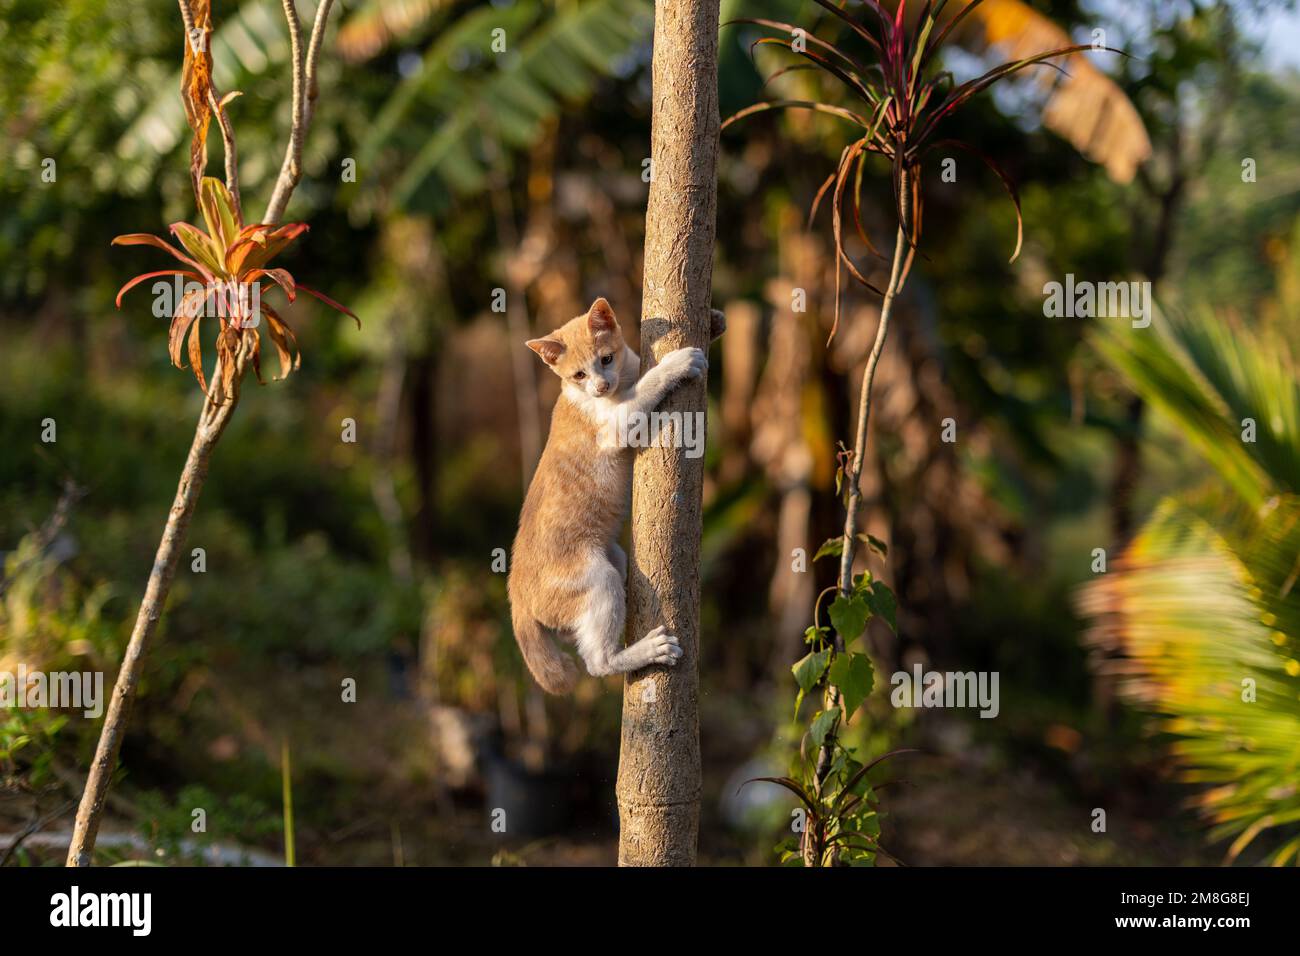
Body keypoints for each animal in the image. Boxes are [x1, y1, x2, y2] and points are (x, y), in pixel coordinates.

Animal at [506, 295, 722, 691]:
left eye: (605, 359)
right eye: (578, 375)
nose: (600, 387)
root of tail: (517, 599)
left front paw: (715, 320)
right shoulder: (614, 425)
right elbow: (648, 387)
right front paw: (677, 363)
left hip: (615, 558)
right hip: (597, 579)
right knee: (597, 662)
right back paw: (648, 650)